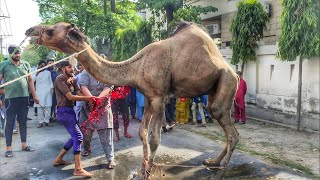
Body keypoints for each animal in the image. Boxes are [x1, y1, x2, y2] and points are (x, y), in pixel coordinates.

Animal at [25, 21, 239, 178]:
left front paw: (148, 172)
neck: (137, 66)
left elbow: (154, 139)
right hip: (214, 89)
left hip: (227, 82)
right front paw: (143, 169)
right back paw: (213, 162)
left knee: (228, 128)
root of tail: (234, 72)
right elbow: (142, 133)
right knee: (223, 122)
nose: (30, 30)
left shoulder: (159, 97)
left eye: (51, 30)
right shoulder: (149, 96)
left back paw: (221, 170)